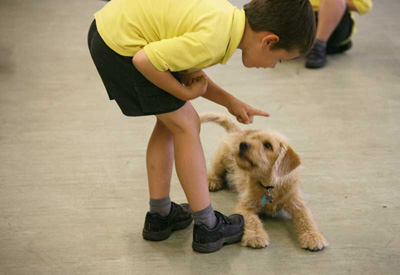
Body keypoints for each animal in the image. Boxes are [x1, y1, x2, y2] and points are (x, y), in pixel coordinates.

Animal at [200, 112, 328, 252]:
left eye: (268, 145)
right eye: (252, 139)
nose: (242, 144)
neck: (270, 185)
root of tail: (239, 131)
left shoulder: (298, 204)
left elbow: (307, 219)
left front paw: (313, 236)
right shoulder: (245, 206)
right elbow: (252, 220)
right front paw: (256, 236)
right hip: (221, 159)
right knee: (215, 169)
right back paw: (212, 180)